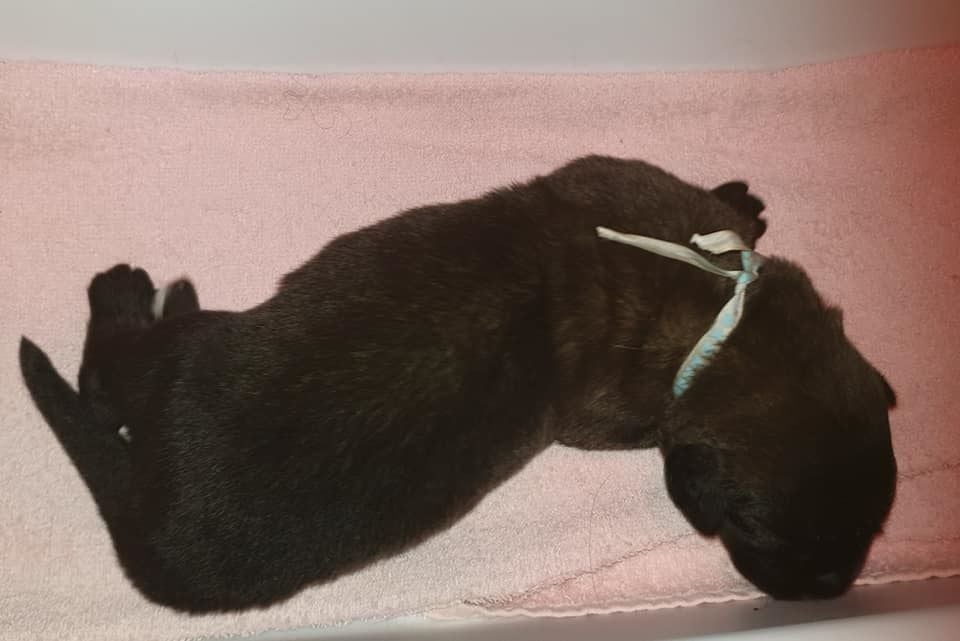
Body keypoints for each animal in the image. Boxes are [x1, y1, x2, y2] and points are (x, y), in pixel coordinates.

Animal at [19, 155, 897, 612]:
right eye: (763, 532)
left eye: (871, 526)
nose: (828, 593)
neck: (727, 323)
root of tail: (151, 525)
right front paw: (736, 199)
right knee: (105, 380)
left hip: (184, 357)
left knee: (109, 376)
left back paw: (129, 296)